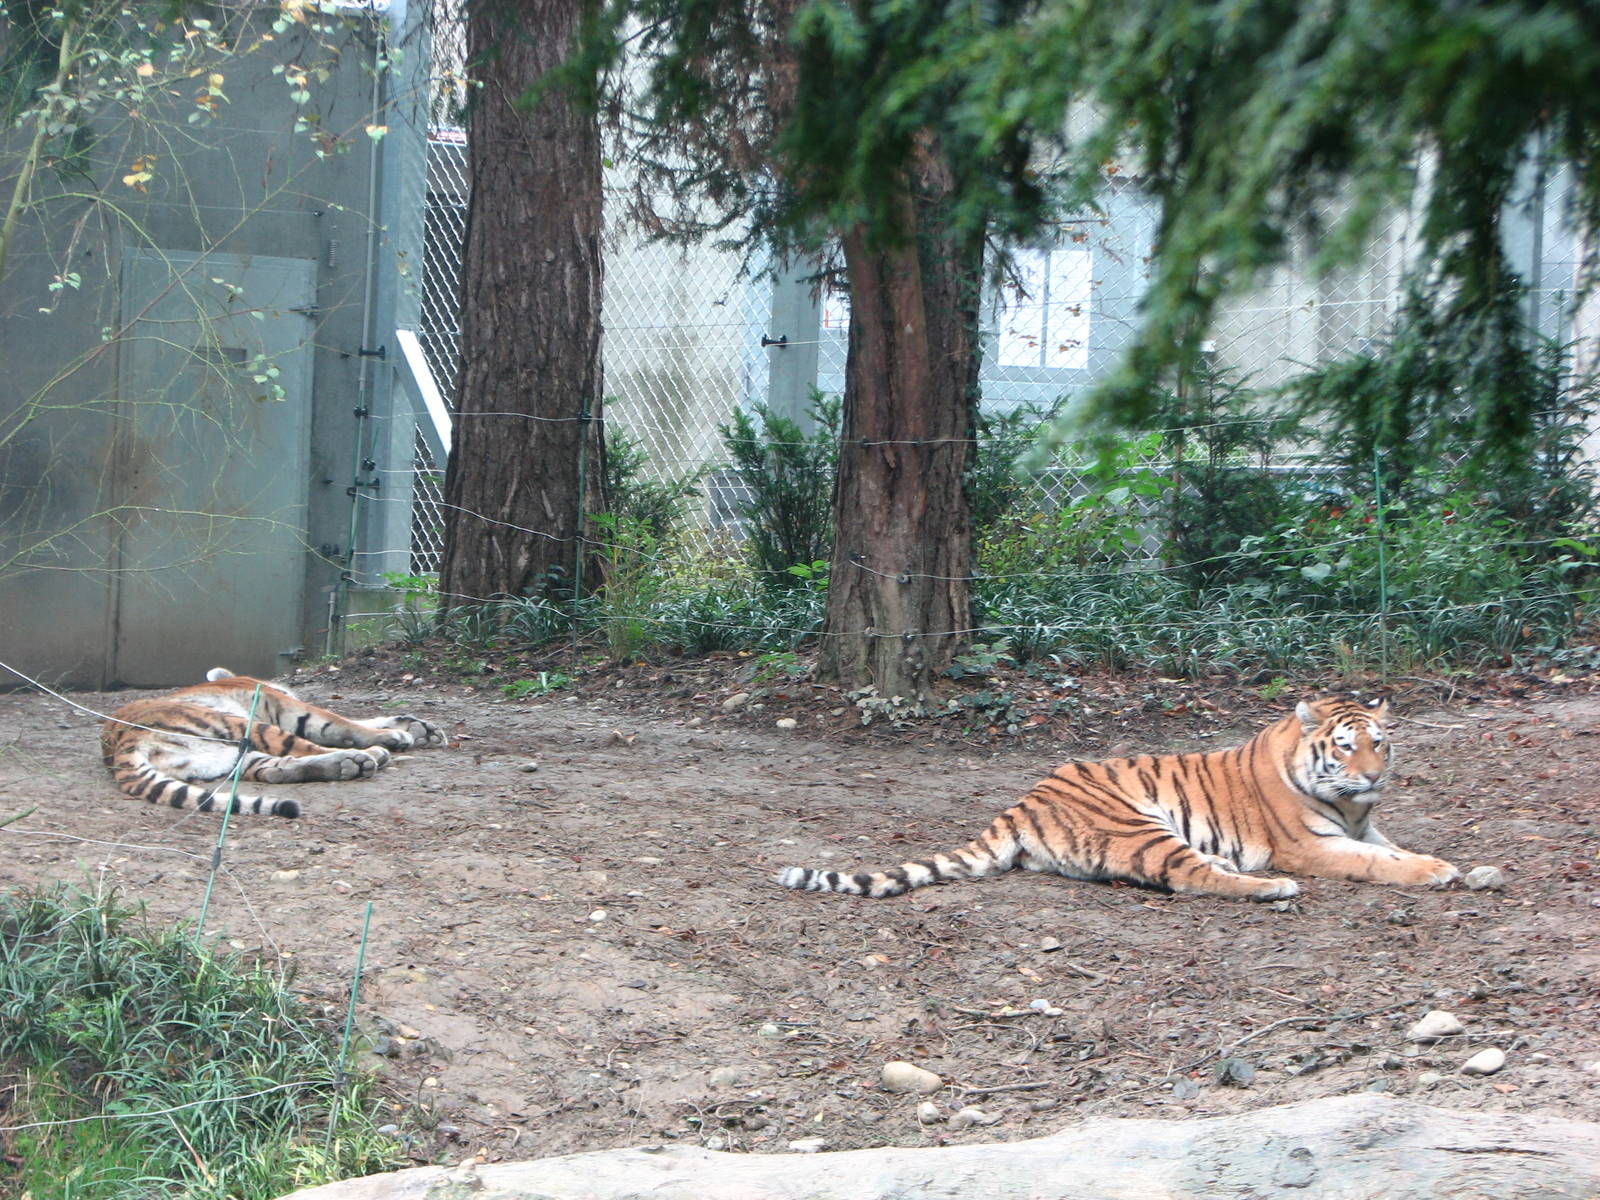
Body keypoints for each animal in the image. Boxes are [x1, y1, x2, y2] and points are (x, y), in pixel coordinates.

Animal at [101, 668, 446, 818]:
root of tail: (120, 746)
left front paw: (419, 728)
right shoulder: (288, 707)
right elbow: (340, 721)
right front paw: (397, 735)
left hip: (231, 757)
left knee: (276, 768)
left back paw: (347, 764)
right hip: (244, 724)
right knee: (301, 748)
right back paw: (367, 756)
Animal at [778, 694, 1458, 901]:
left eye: (1380, 744)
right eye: (1345, 747)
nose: (1374, 778)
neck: (1350, 805)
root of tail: (1022, 801)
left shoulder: (1367, 827)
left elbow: (1394, 850)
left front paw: (1448, 865)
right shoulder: (1314, 846)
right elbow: (1375, 864)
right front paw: (1434, 873)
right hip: (1139, 823)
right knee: (1189, 878)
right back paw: (1269, 888)